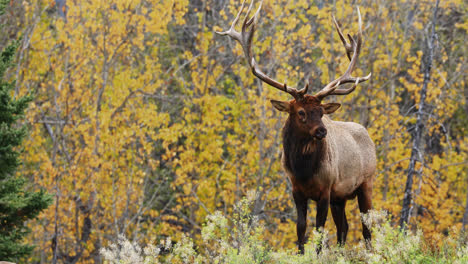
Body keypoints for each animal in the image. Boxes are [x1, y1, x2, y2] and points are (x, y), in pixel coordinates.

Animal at [217, 0, 376, 254]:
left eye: (321, 112)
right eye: (301, 112)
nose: (322, 131)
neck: (303, 170)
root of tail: (368, 136)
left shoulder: (325, 189)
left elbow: (319, 230)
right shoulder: (296, 190)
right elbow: (301, 228)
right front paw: (300, 252)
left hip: (366, 182)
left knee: (366, 225)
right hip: (340, 196)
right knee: (344, 227)